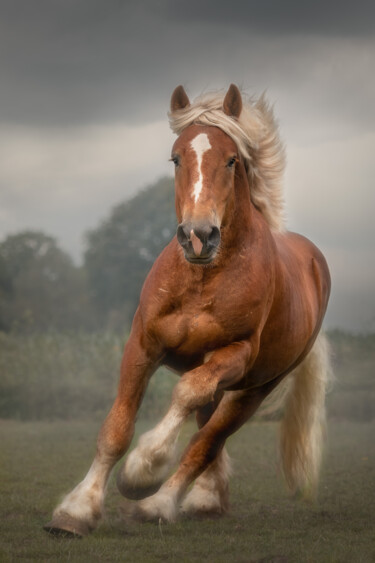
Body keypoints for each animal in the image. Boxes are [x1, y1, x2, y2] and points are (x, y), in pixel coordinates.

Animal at [44, 83, 332, 536]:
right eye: (176, 158)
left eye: (232, 159)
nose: (199, 236)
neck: (201, 280)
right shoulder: (142, 345)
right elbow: (116, 429)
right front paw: (76, 510)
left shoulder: (234, 354)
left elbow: (186, 395)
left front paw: (142, 470)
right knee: (206, 434)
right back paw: (206, 499)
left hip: (256, 387)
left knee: (206, 441)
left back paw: (159, 503)